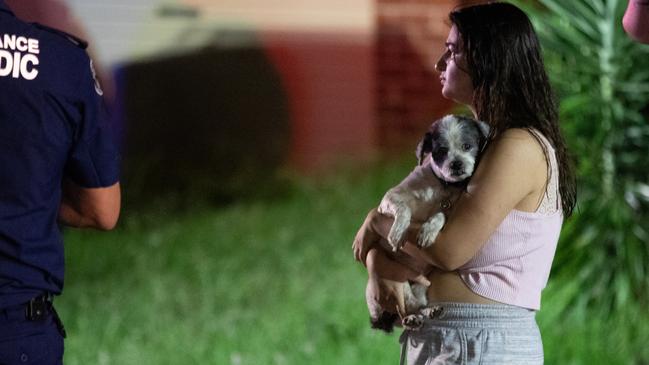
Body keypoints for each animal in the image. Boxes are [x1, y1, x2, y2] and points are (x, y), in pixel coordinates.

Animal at [368, 114, 488, 330]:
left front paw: (427, 232)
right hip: (398, 280)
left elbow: (439, 215)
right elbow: (404, 209)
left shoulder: (450, 213)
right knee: (404, 309)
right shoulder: (391, 197)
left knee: (416, 305)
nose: (456, 164)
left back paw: (428, 312)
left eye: (467, 146)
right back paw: (411, 318)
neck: (443, 186)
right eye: (441, 151)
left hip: (420, 285)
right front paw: (398, 233)